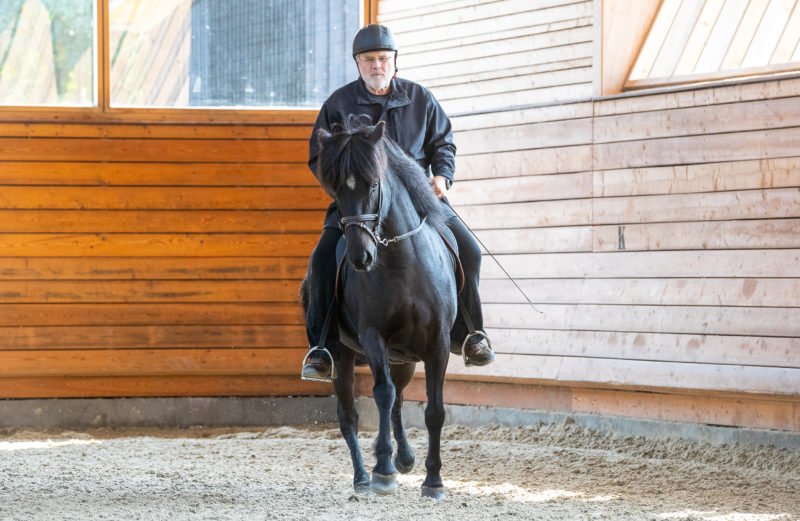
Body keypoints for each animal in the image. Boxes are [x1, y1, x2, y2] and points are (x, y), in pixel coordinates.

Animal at [302, 116, 456, 498]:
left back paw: (405, 459)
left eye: (373, 185)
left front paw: (433, 481)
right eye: (336, 191)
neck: (404, 264)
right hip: (342, 355)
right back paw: (362, 476)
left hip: (405, 359)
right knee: (349, 415)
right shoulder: (374, 338)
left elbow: (434, 411)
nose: (361, 257)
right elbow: (382, 396)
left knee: (399, 400)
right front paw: (382, 470)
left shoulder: (438, 344)